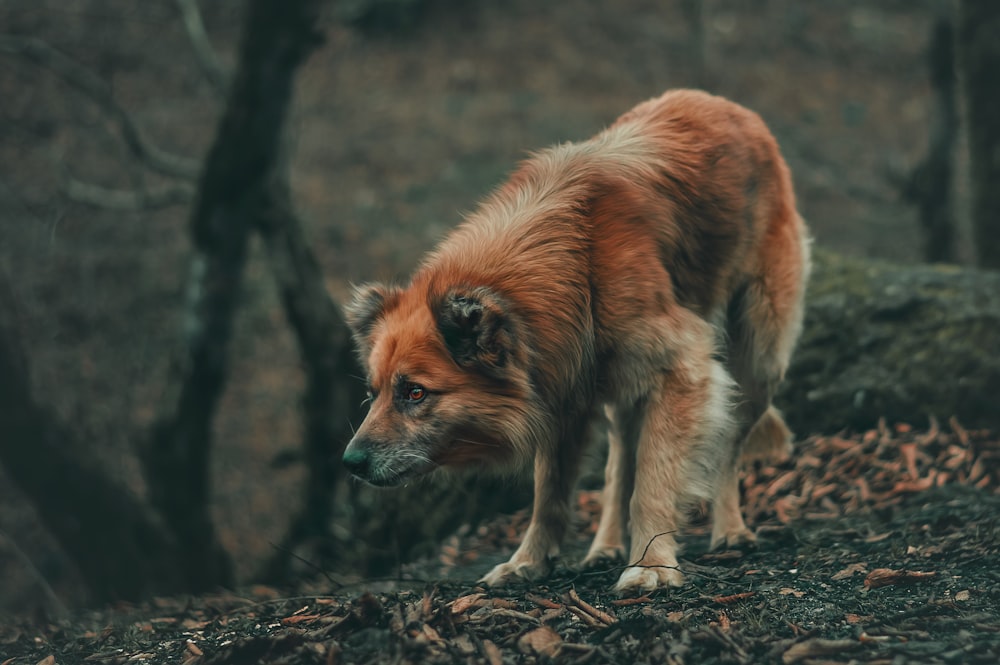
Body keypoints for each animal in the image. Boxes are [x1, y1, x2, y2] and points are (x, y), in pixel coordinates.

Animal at [340, 88, 808, 592]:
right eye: (373, 394)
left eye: (415, 392)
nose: (350, 462)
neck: (573, 260)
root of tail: (729, 107)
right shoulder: (561, 386)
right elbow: (551, 492)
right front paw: (529, 561)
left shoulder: (683, 369)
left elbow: (654, 480)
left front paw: (651, 564)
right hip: (623, 385)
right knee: (620, 461)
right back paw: (604, 546)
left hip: (757, 362)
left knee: (727, 446)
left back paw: (731, 530)